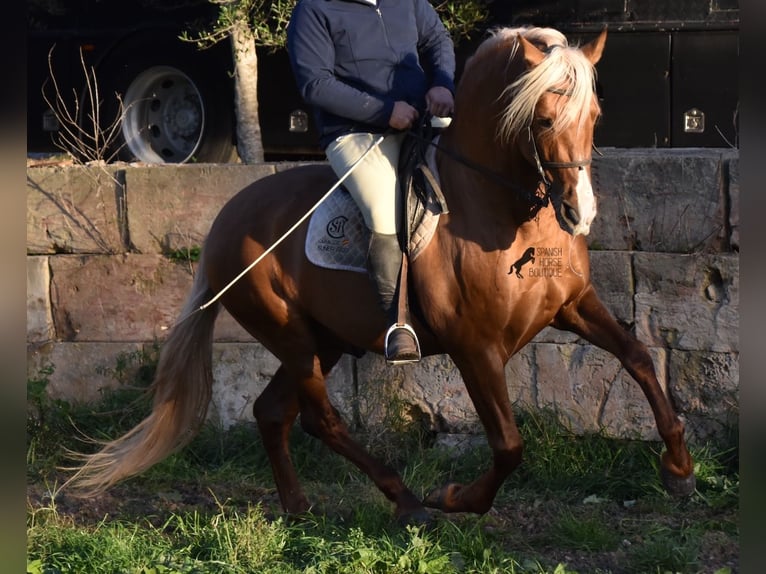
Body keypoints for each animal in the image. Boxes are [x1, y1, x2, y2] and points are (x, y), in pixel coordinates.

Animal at [66, 25, 696, 528]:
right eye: (542, 118)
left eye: (594, 117)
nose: (580, 213)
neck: (502, 213)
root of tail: (225, 221)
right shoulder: (475, 347)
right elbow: (509, 445)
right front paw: (455, 497)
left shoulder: (574, 306)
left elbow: (638, 357)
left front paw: (680, 468)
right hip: (292, 337)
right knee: (322, 420)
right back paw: (407, 499)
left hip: (324, 341)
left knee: (273, 412)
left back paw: (298, 507)